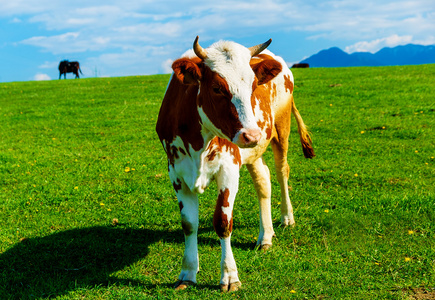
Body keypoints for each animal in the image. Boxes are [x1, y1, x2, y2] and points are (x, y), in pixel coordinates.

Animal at [155, 36, 316, 292]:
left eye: (253, 86)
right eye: (217, 88)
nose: (251, 135)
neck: (199, 142)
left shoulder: (229, 168)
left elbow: (223, 222)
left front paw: (230, 277)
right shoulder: (176, 172)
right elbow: (189, 224)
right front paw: (188, 273)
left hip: (281, 129)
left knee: (282, 172)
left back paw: (287, 218)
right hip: (253, 152)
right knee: (264, 181)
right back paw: (265, 236)